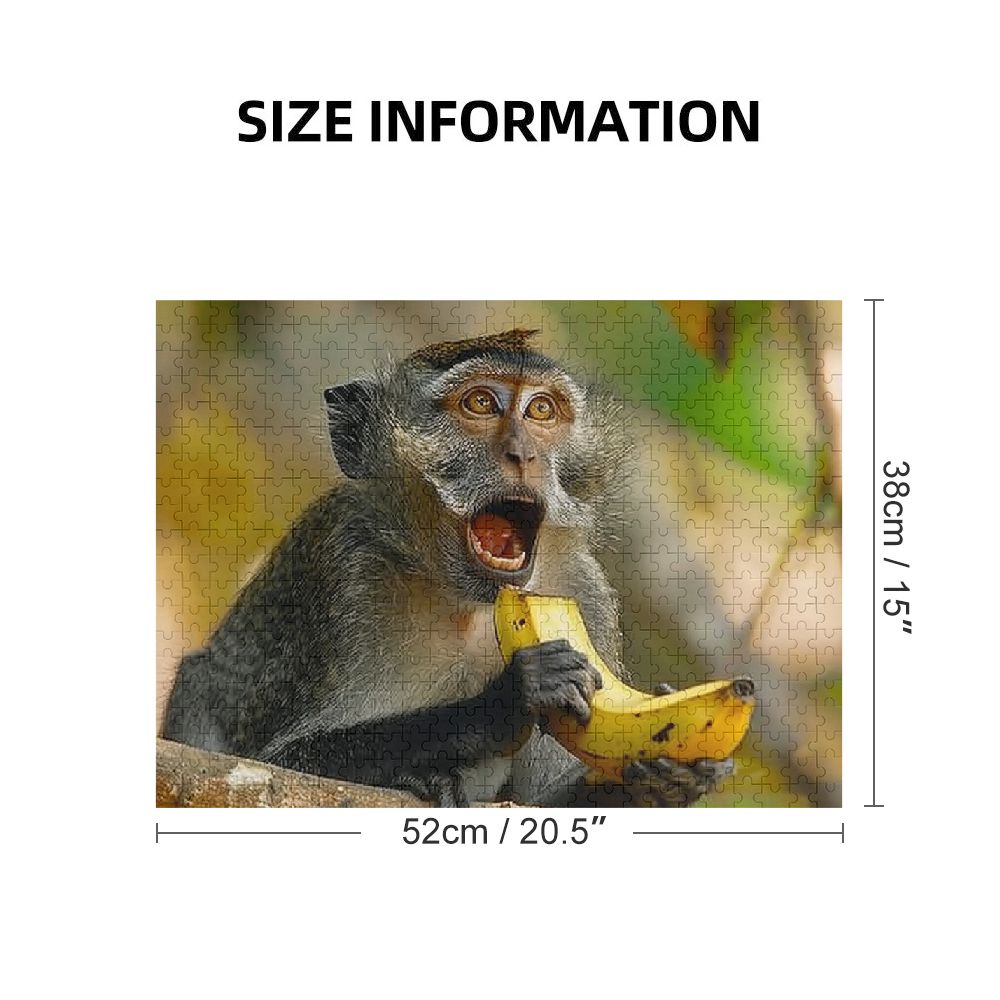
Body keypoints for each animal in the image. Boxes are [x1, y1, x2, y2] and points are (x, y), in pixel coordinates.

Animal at [163, 329, 733, 806]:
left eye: (541, 411)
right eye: (480, 403)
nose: (522, 453)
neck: (467, 603)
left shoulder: (582, 592)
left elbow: (541, 801)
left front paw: (667, 776)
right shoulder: (344, 576)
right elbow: (280, 763)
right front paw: (505, 701)